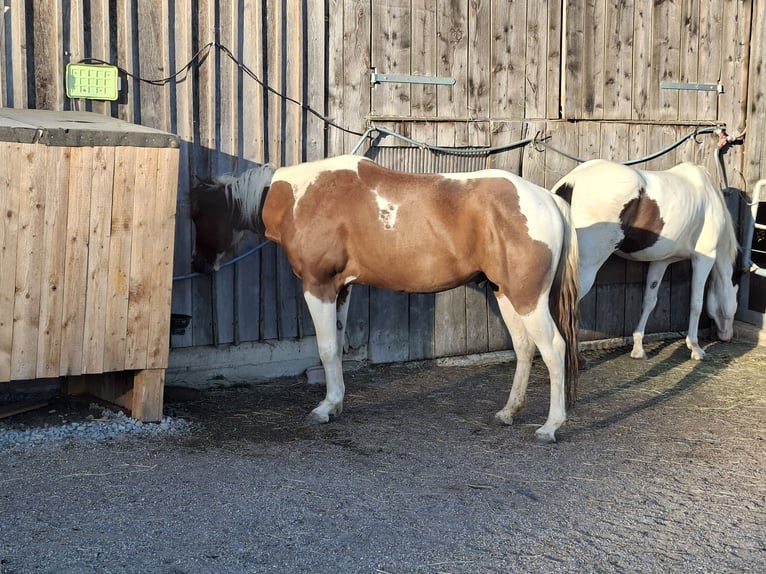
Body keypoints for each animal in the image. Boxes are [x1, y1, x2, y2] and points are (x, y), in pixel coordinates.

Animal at [190, 155, 580, 443]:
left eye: (198, 215)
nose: (198, 265)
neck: (303, 198)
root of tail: (547, 199)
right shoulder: (342, 289)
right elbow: (337, 346)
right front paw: (336, 403)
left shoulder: (319, 286)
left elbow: (326, 348)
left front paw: (324, 409)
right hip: (506, 294)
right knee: (525, 348)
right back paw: (508, 412)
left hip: (528, 298)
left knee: (553, 349)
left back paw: (550, 427)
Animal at [552, 159, 739, 361]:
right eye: (735, 304)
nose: (728, 336)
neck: (710, 197)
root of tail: (572, 181)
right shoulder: (703, 258)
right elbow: (696, 304)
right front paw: (696, 348)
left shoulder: (661, 261)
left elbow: (649, 300)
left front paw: (638, 348)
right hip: (585, 269)